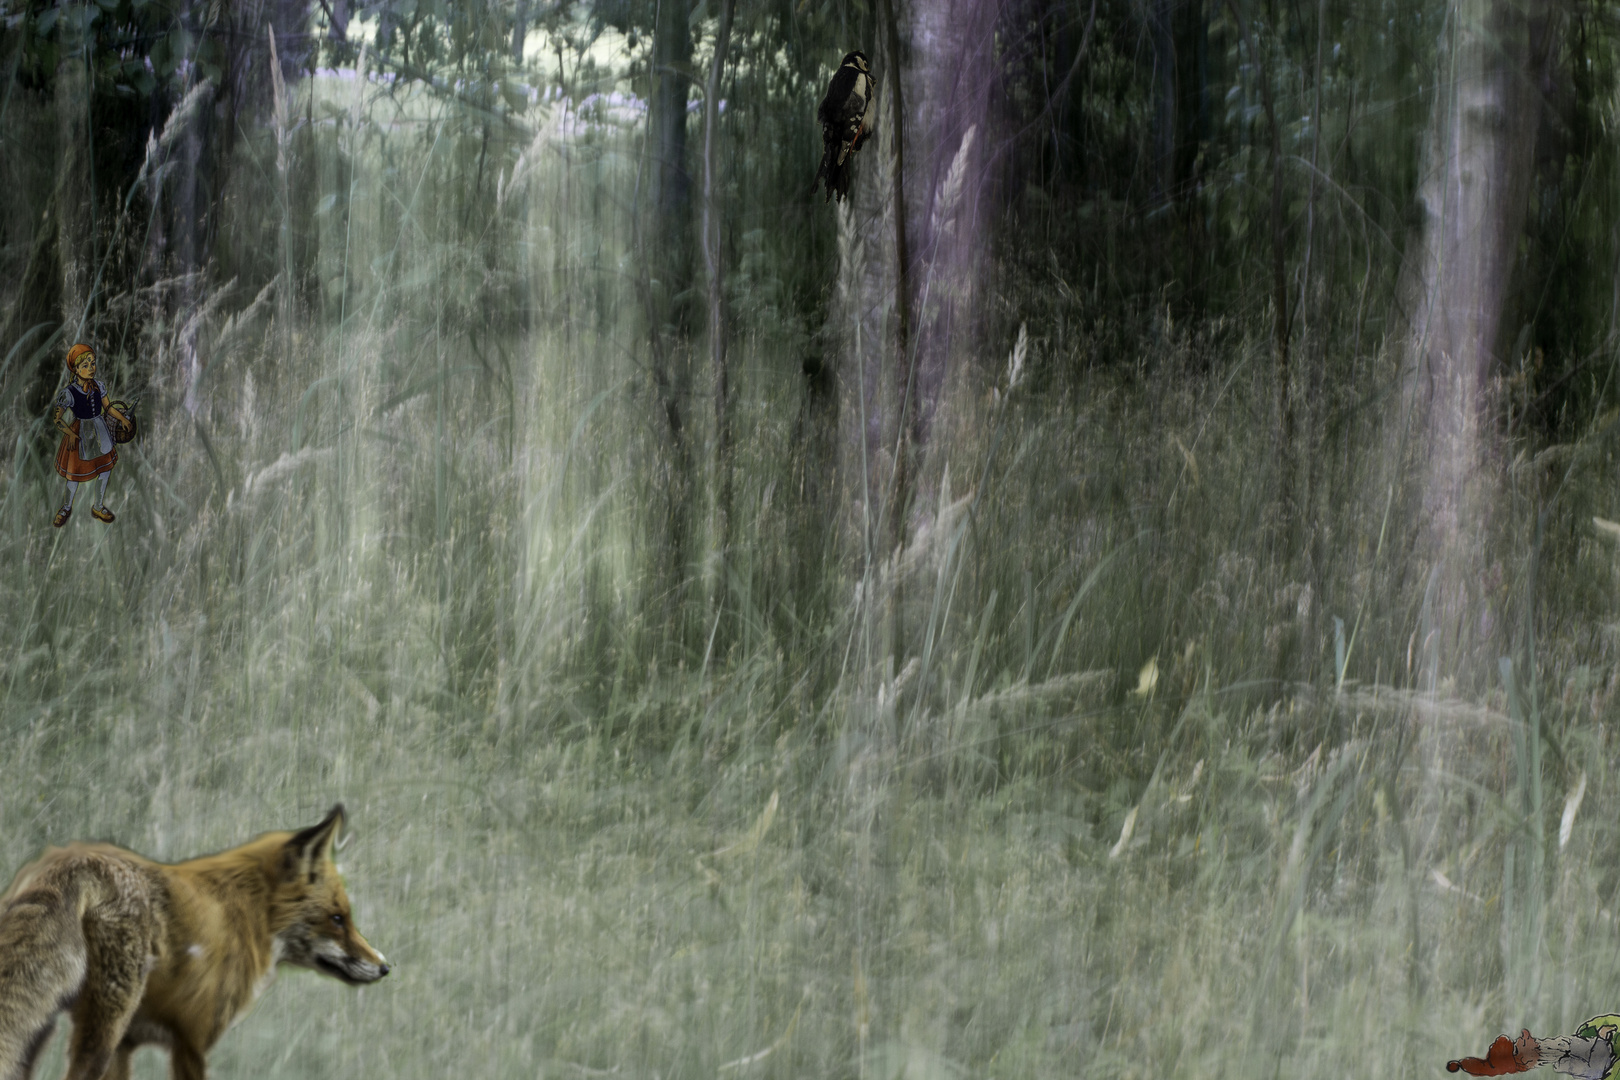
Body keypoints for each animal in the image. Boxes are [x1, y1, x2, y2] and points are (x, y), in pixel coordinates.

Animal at [0, 806, 388, 1080]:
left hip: (44, 1030)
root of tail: (73, 860)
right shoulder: (192, 1041)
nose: (385, 966)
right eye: (337, 919)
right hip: (101, 1029)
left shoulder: (128, 1044)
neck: (247, 915)